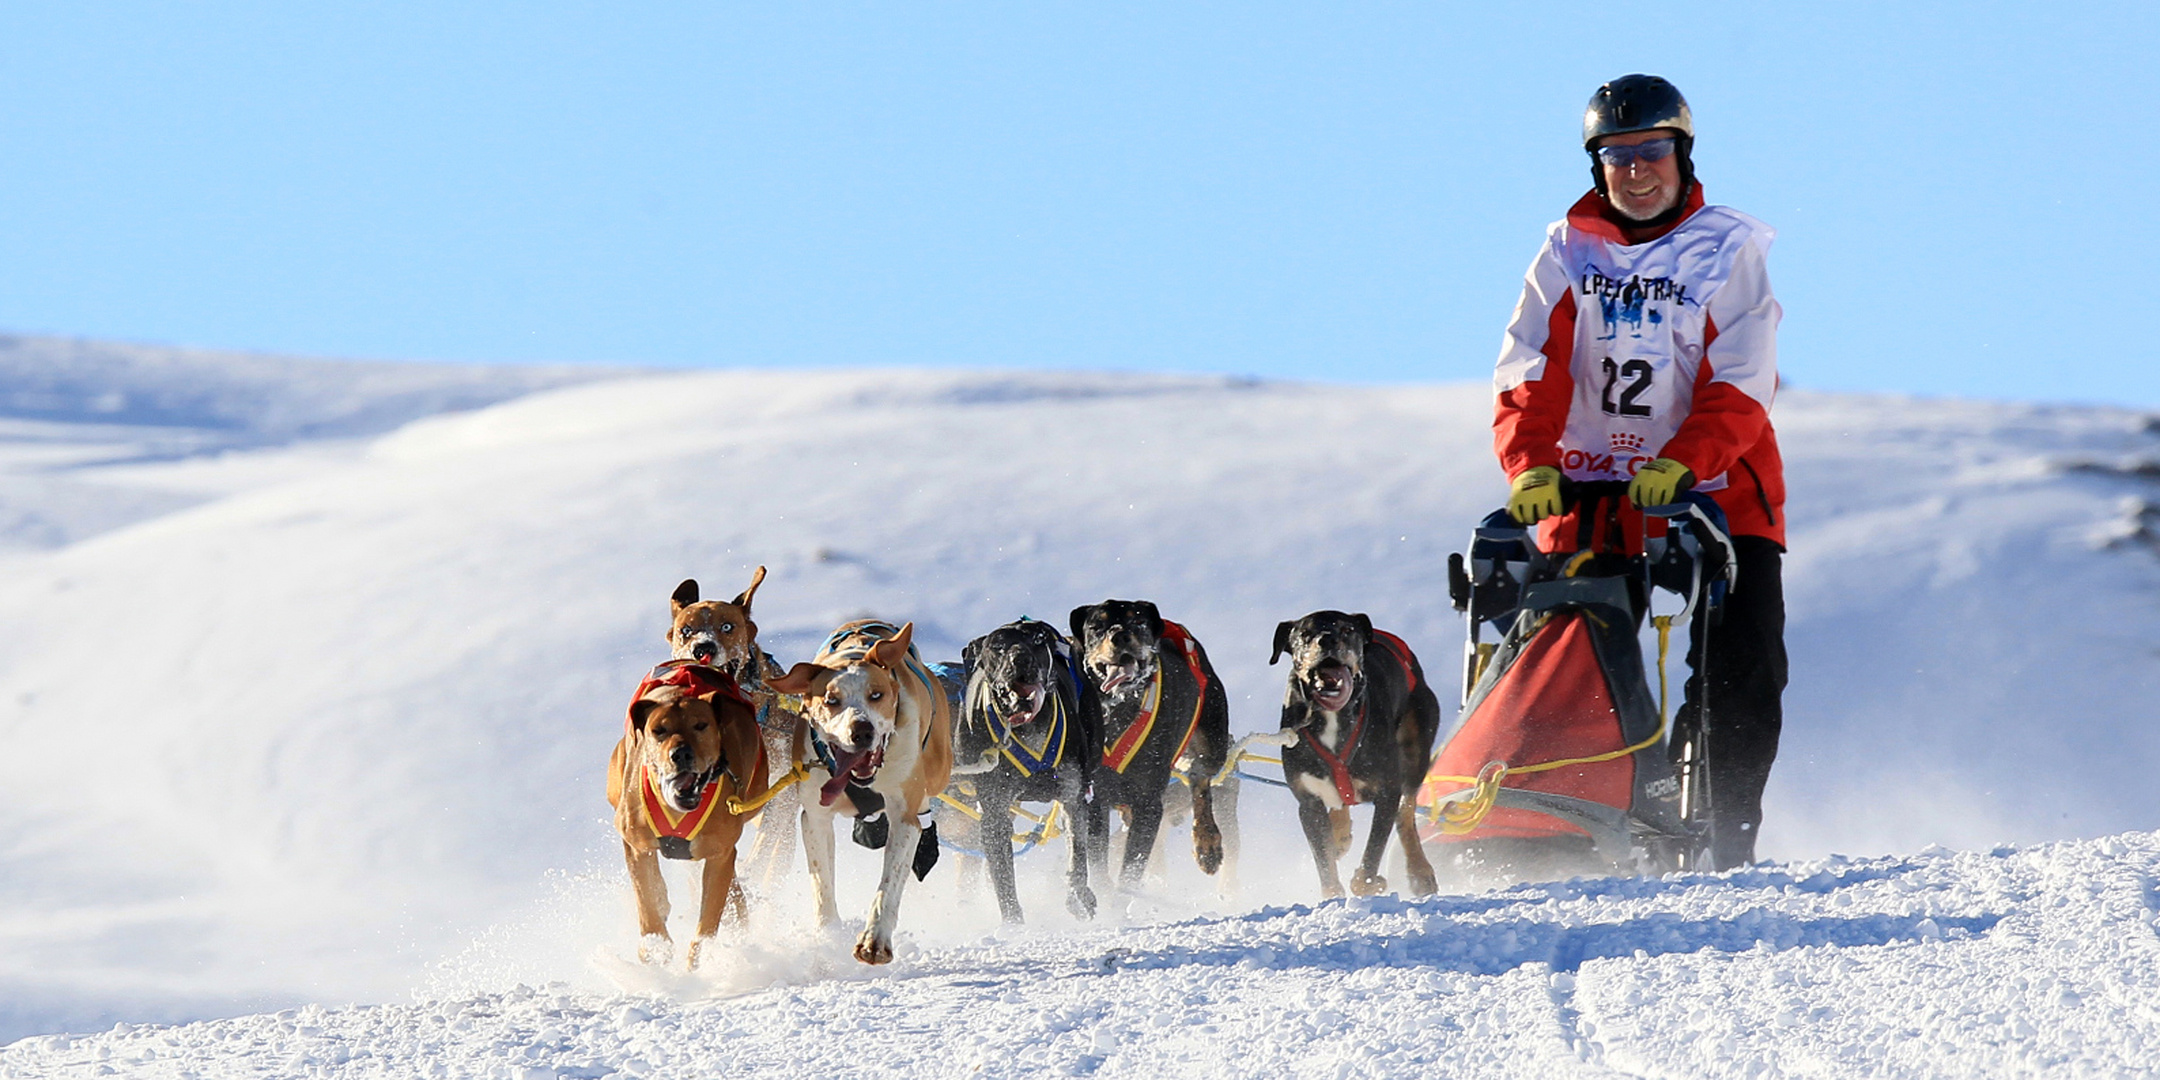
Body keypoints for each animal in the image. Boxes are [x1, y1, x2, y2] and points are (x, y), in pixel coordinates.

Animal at [768, 622, 954, 967]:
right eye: (831, 700)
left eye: (876, 695)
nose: (862, 731)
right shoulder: (815, 818)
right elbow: (822, 883)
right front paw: (828, 936)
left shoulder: (903, 817)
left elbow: (889, 885)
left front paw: (875, 939)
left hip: (939, 767)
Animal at [950, 622, 1097, 924]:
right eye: (998, 646)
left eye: (1037, 640)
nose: (1021, 659)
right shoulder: (994, 812)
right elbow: (1003, 876)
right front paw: (1013, 924)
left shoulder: (1072, 796)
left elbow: (1077, 854)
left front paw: (1077, 895)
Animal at [1067, 600, 1235, 885]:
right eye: (1096, 626)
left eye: (1137, 621)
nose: (1120, 635)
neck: (1119, 708)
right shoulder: (1094, 799)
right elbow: (1097, 862)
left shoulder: (1149, 803)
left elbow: (1131, 870)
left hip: (1213, 743)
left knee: (1200, 779)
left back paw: (1207, 842)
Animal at [1270, 613, 1442, 898]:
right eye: (1305, 634)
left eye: (1347, 629)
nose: (1326, 639)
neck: (1332, 716)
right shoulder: (1308, 802)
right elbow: (1323, 858)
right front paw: (1332, 893)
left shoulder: (1386, 793)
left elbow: (1374, 849)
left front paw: (1367, 883)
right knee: (1343, 804)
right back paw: (1339, 834)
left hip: (1415, 752)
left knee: (1405, 814)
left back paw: (1420, 871)